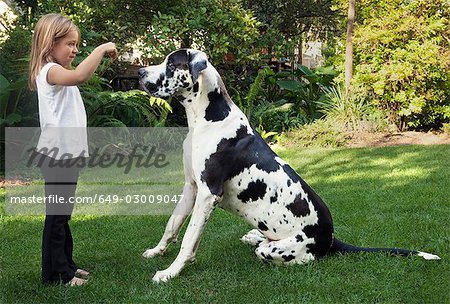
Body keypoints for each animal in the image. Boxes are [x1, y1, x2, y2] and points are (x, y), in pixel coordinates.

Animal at [138, 49, 440, 282]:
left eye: (171, 64)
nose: (140, 72)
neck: (209, 118)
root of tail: (331, 238)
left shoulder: (208, 194)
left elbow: (189, 239)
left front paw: (170, 272)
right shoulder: (191, 187)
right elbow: (172, 225)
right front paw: (156, 252)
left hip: (282, 250)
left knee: (297, 258)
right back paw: (253, 235)